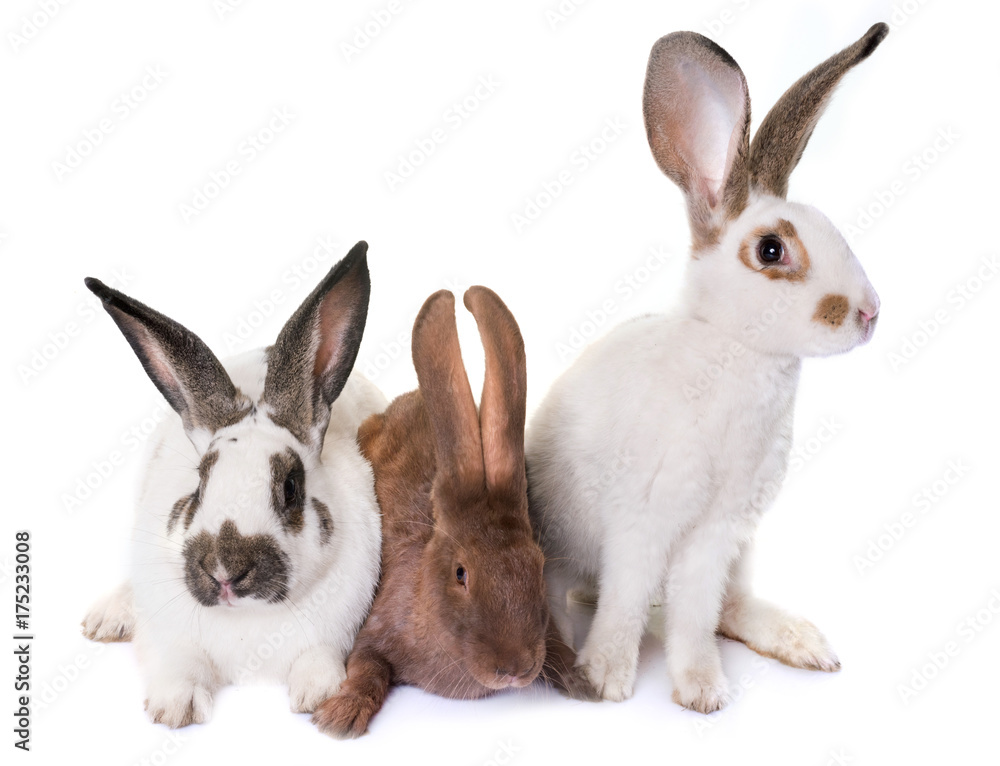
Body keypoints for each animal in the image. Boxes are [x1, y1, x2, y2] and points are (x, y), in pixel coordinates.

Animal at [80, 241, 385, 727]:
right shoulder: (172, 639)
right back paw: (106, 619)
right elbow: (179, 666)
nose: (224, 572)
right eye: (200, 484)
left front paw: (318, 696)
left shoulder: (333, 635)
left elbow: (317, 661)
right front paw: (175, 708)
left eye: (290, 487)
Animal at [312, 286, 588, 739]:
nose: (516, 668)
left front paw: (585, 682)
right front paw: (339, 718)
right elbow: (367, 670)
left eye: (538, 566)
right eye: (461, 574)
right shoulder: (374, 630)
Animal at [525, 23, 889, 713]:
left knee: (728, 606)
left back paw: (802, 644)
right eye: (771, 250)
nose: (868, 313)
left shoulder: (716, 533)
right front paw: (605, 677)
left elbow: (694, 615)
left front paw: (701, 691)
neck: (736, 353)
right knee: (569, 589)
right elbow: (625, 602)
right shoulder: (643, 520)